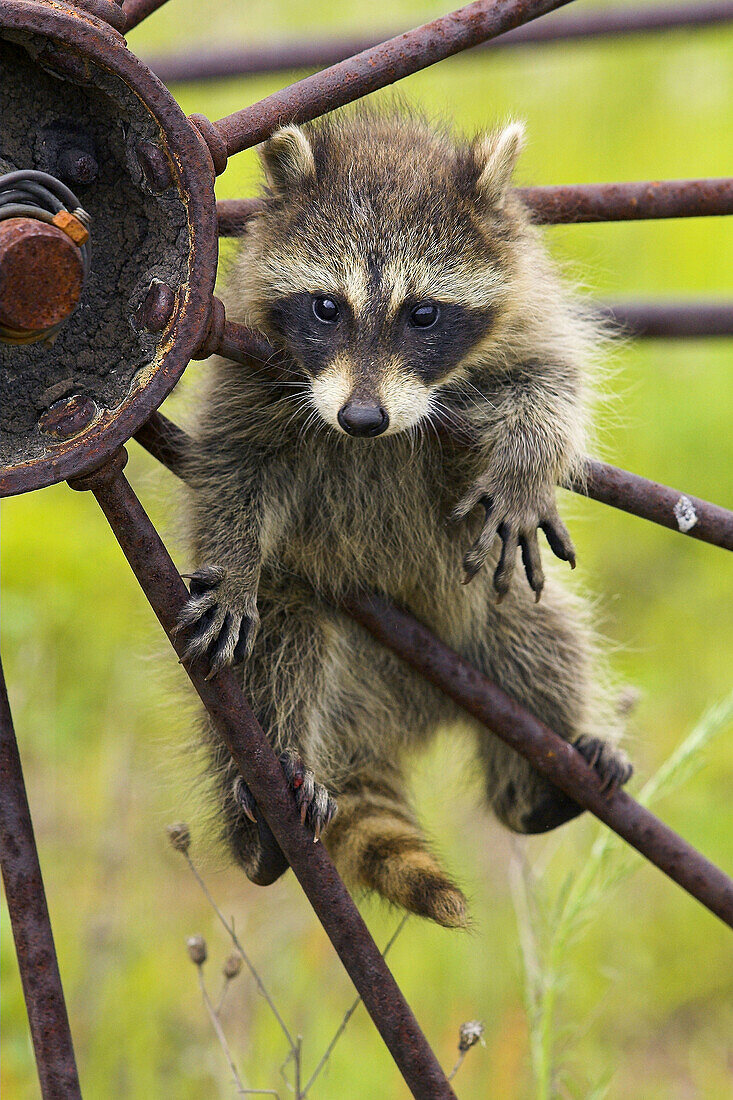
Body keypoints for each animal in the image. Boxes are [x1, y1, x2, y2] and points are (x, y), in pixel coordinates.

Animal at [177, 107, 629, 928]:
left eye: (422, 314)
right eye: (327, 306)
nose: (361, 419)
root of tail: (393, 710)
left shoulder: (530, 315)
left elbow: (552, 387)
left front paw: (522, 470)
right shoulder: (246, 359)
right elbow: (234, 464)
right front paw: (231, 558)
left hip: (485, 616)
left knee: (542, 636)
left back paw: (543, 779)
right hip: (301, 608)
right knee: (274, 654)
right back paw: (266, 797)